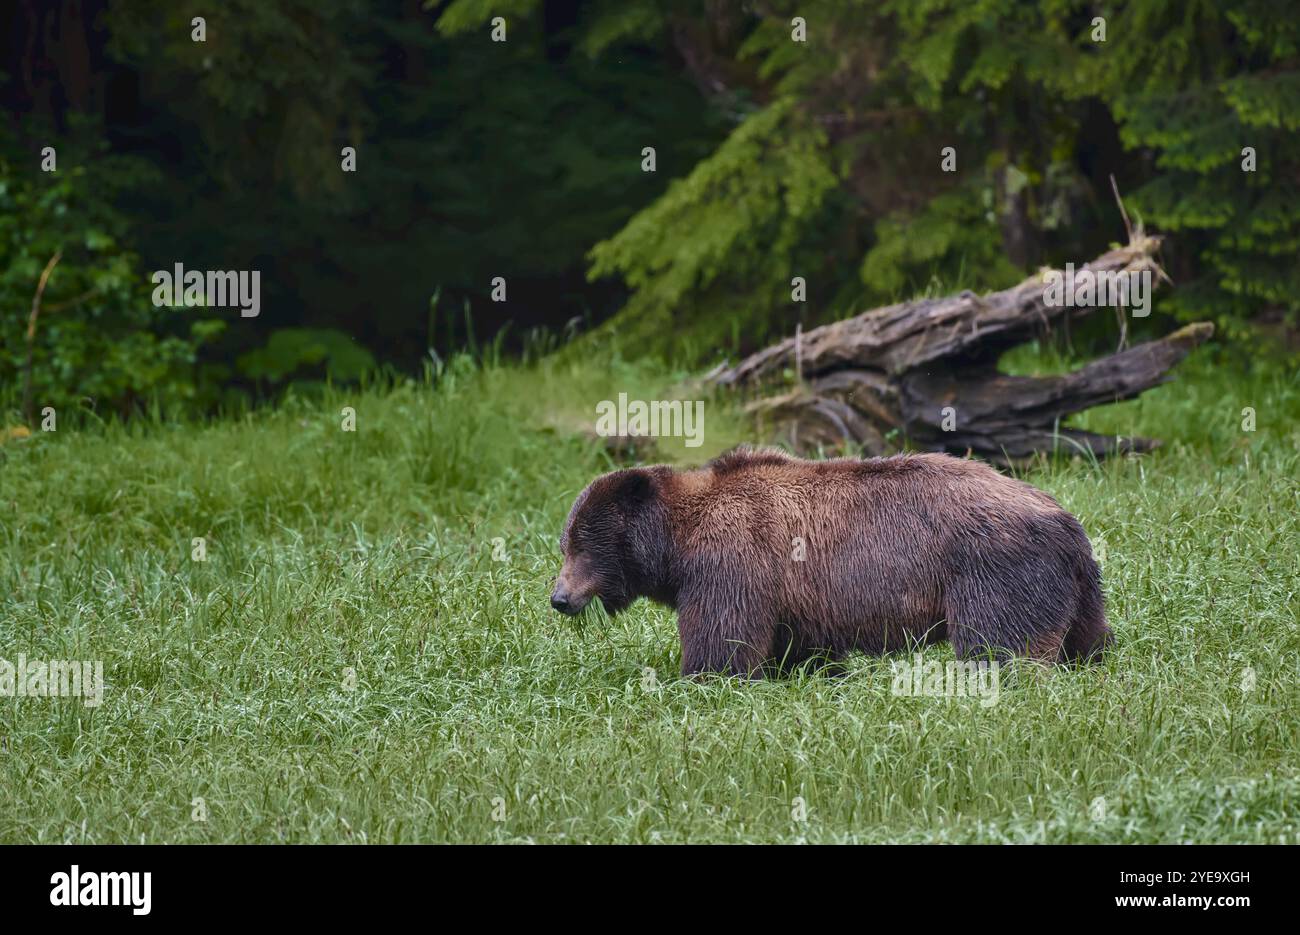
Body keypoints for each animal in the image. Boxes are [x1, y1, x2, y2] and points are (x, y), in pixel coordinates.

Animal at [553, 447, 1112, 681]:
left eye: (581, 543)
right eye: (565, 543)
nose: (559, 598)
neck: (677, 545)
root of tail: (1068, 523)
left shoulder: (732, 563)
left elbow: (722, 639)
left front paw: (700, 679)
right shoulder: (795, 597)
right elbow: (801, 649)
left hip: (996, 570)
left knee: (999, 647)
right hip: (1077, 591)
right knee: (1086, 640)